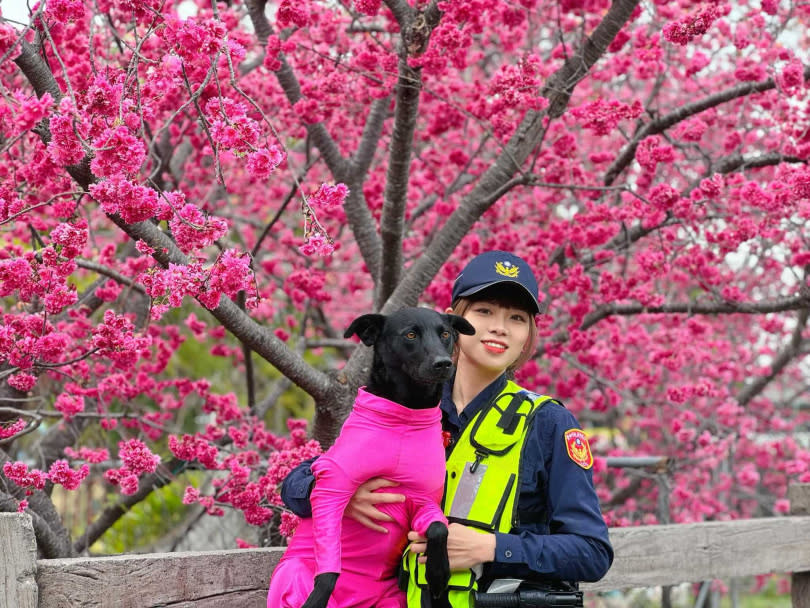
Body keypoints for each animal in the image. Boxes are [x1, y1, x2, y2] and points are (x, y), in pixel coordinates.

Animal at [268, 308, 474, 608]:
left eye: (445, 334)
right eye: (410, 335)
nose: (444, 364)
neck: (406, 415)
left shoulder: (423, 499)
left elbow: (438, 528)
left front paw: (438, 573)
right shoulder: (331, 486)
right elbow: (328, 571)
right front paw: (318, 597)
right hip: (292, 573)